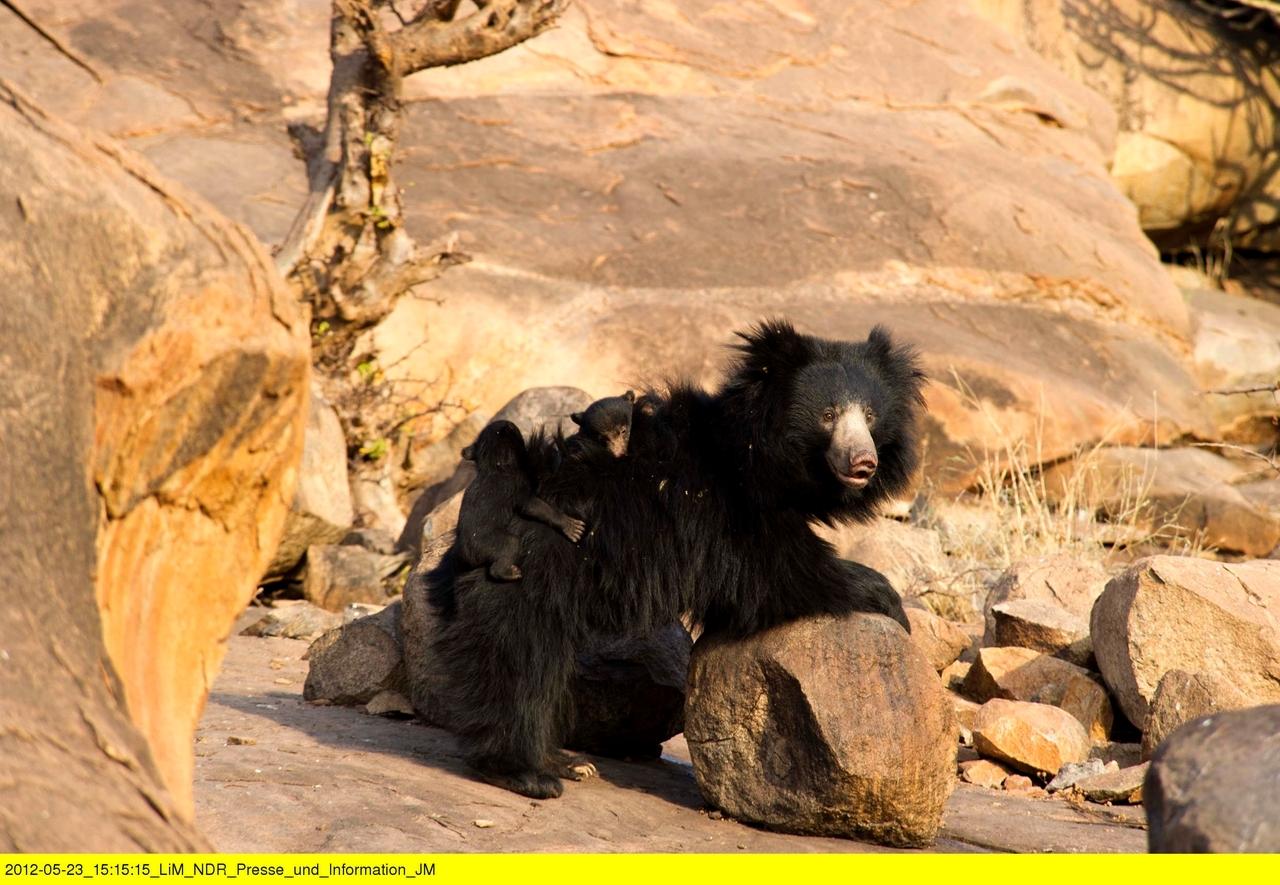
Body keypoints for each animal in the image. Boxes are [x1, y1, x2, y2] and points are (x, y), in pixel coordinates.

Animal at [424, 321, 926, 799]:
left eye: (871, 416)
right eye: (828, 415)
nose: (863, 463)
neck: (755, 458)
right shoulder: (721, 513)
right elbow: (777, 574)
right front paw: (888, 600)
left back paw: (567, 762)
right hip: (529, 572)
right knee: (520, 663)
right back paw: (526, 772)